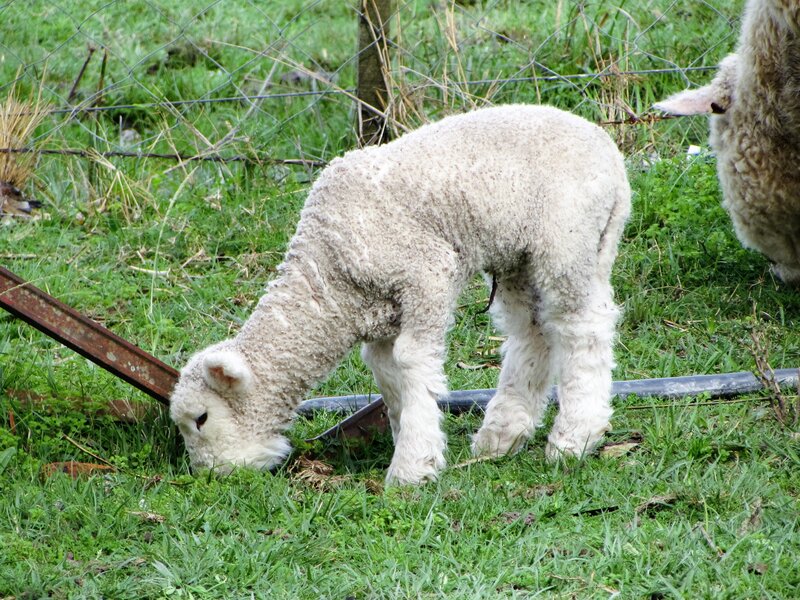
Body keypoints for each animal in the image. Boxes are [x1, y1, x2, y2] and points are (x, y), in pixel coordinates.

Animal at [169, 104, 631, 485]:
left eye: (202, 418)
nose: (212, 475)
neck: (329, 280)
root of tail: (610, 153)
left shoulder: (426, 273)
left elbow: (413, 363)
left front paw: (412, 467)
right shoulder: (382, 315)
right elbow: (387, 372)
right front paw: (407, 437)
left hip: (567, 241)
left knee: (581, 328)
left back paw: (575, 437)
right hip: (519, 257)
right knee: (531, 334)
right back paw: (502, 436)